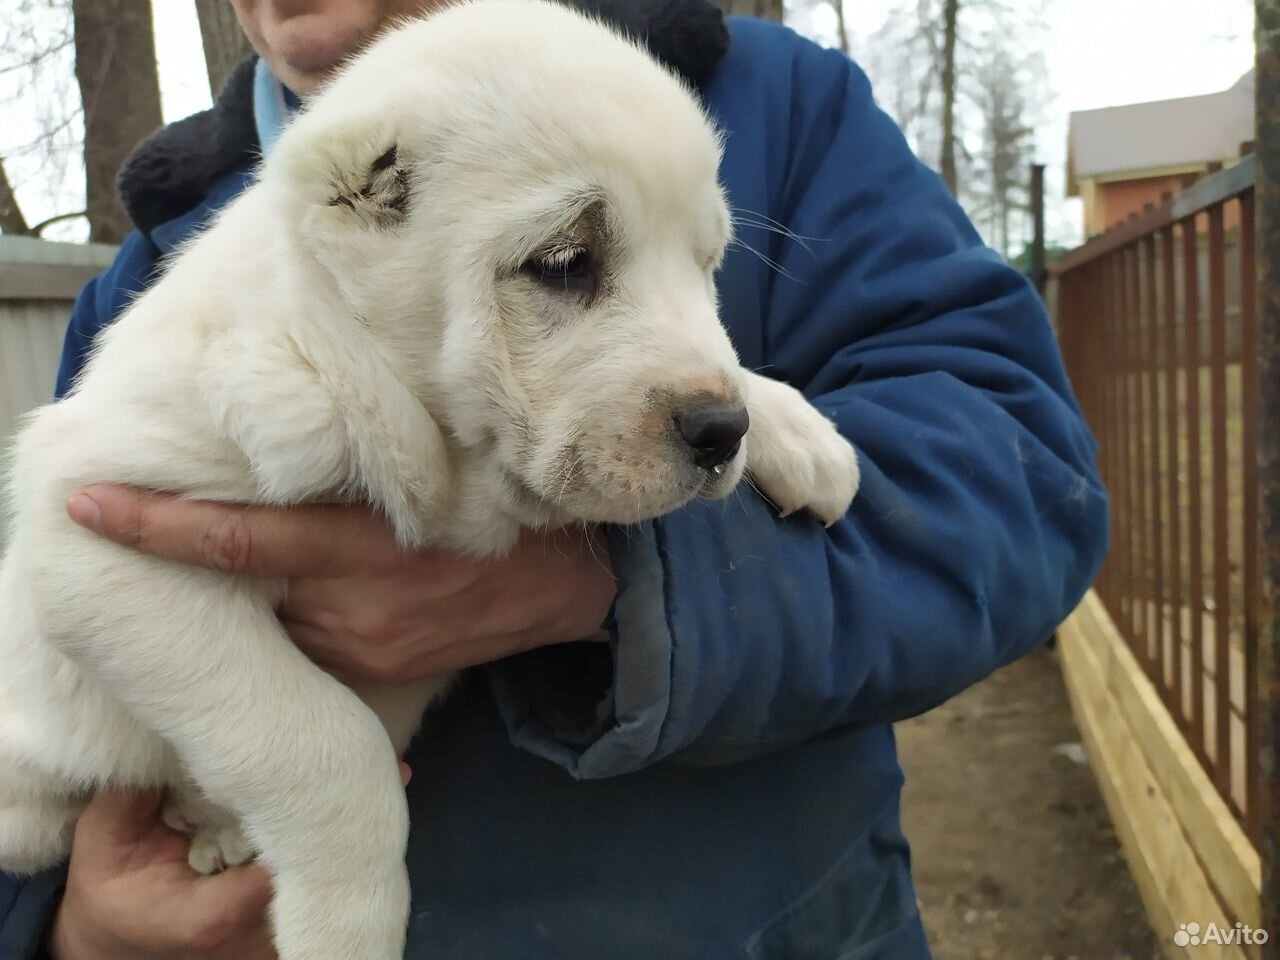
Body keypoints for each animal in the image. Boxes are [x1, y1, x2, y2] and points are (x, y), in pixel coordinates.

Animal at [0, 0, 860, 957]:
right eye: (565, 264)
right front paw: (348, 924)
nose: (721, 432)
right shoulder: (97, 542)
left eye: (707, 265)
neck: (349, 362)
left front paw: (793, 427)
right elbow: (324, 740)